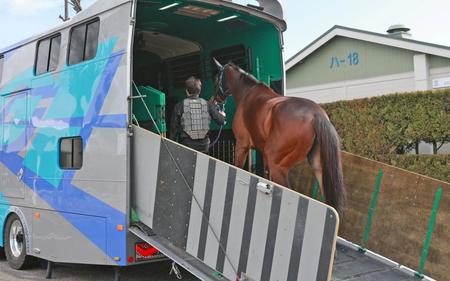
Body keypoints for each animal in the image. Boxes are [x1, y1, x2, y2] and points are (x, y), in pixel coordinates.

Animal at [213, 59, 346, 212]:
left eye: (216, 79)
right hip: (318, 168)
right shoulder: (263, 156)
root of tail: (316, 115)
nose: (215, 100)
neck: (247, 93)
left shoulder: (242, 145)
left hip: (277, 165)